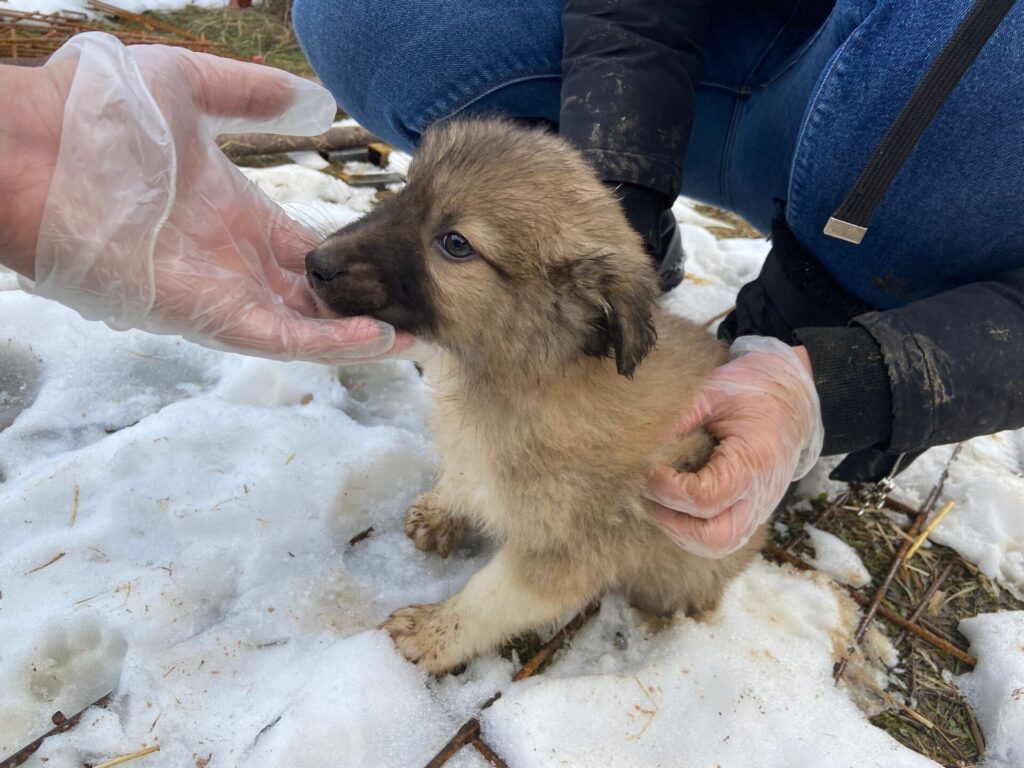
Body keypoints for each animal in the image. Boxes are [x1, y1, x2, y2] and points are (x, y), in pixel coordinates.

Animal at [306, 119, 764, 674]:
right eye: (406, 190)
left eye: (455, 243)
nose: (313, 264)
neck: (523, 376)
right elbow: (465, 473)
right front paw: (444, 508)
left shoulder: (565, 553)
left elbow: (485, 600)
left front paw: (430, 632)